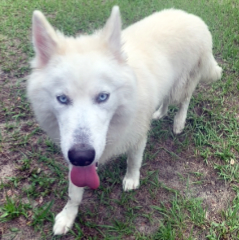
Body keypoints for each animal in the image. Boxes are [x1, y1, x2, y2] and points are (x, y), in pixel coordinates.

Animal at [27, 5, 221, 234]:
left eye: (103, 97)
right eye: (62, 99)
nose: (82, 156)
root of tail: (190, 16)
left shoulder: (137, 136)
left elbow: (134, 161)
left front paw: (131, 179)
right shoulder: (72, 152)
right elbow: (74, 192)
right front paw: (68, 216)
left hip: (183, 84)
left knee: (184, 100)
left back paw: (178, 123)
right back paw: (160, 113)